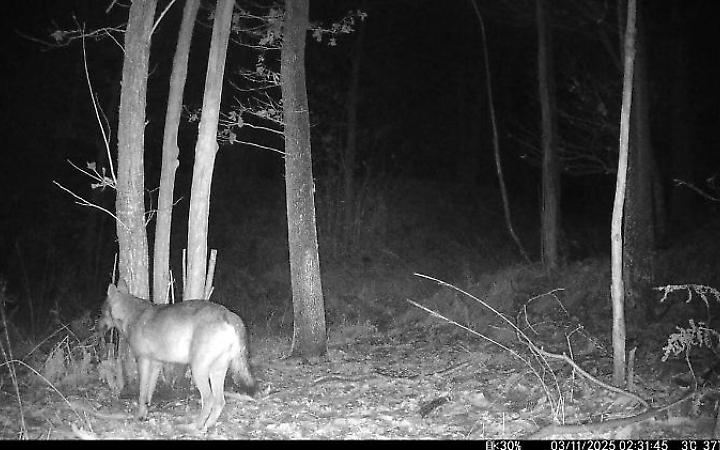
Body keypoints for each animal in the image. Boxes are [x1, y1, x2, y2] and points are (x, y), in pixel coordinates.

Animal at [99, 280, 255, 431]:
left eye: (101, 312)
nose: (96, 327)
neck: (132, 315)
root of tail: (229, 314)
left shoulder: (143, 361)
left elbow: (142, 393)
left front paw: (139, 416)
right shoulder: (156, 364)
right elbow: (149, 393)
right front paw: (145, 414)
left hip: (198, 370)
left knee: (209, 399)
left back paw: (195, 427)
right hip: (216, 370)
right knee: (219, 401)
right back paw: (207, 426)